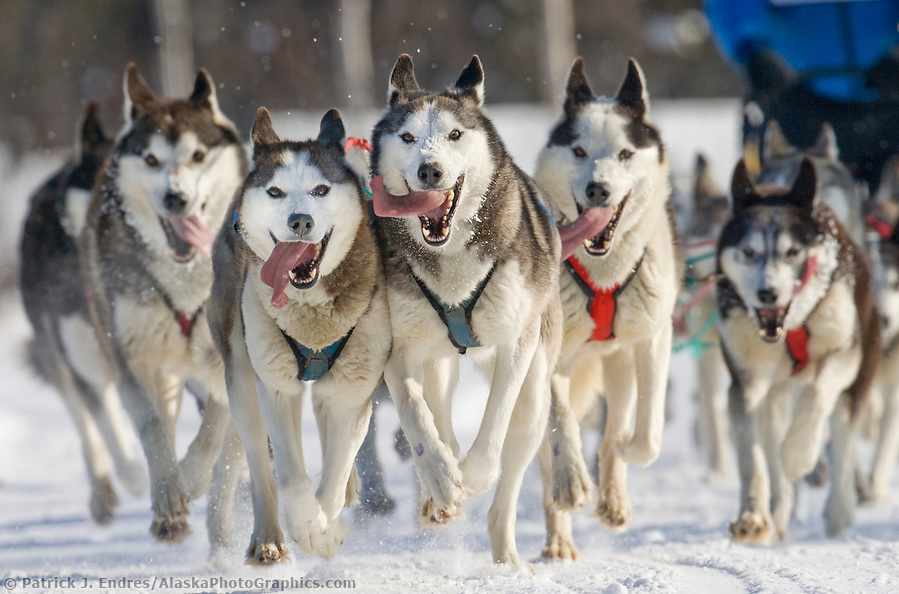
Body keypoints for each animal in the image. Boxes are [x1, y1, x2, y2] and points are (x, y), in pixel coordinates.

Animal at [18, 104, 146, 520]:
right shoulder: (82, 361)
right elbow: (105, 423)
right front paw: (136, 474)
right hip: (56, 354)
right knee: (84, 421)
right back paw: (103, 490)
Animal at [211, 108, 394, 560]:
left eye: (320, 189)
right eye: (275, 192)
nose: (301, 220)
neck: (311, 314)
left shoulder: (353, 388)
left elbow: (336, 471)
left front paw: (324, 527)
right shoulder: (275, 385)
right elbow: (292, 476)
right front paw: (306, 525)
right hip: (241, 378)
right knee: (260, 461)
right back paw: (268, 539)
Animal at [370, 53, 560, 560]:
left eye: (454, 134)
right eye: (408, 137)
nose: (430, 171)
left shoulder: (516, 344)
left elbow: (495, 419)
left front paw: (474, 474)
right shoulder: (397, 351)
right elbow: (417, 419)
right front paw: (441, 476)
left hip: (536, 397)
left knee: (508, 481)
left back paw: (506, 554)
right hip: (436, 362)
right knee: (439, 416)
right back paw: (437, 495)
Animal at [720, 156, 884, 540]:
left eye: (792, 252)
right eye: (749, 252)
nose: (767, 293)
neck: (791, 328)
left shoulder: (844, 354)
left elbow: (816, 395)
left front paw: (798, 452)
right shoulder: (745, 384)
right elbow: (752, 458)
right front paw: (752, 513)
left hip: (858, 376)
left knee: (844, 437)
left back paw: (839, 510)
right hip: (774, 396)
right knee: (773, 451)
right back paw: (777, 512)